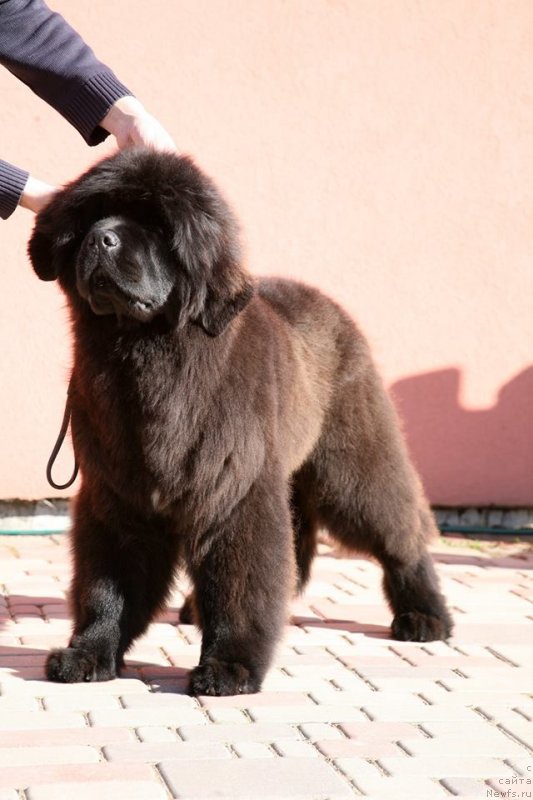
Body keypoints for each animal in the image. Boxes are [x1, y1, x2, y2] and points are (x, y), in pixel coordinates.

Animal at [29, 148, 450, 692]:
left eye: (159, 227)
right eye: (94, 216)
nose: (103, 237)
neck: (145, 356)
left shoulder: (235, 491)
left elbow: (241, 580)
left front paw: (229, 665)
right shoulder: (118, 497)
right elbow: (109, 586)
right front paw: (89, 652)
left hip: (351, 467)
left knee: (399, 527)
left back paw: (426, 615)